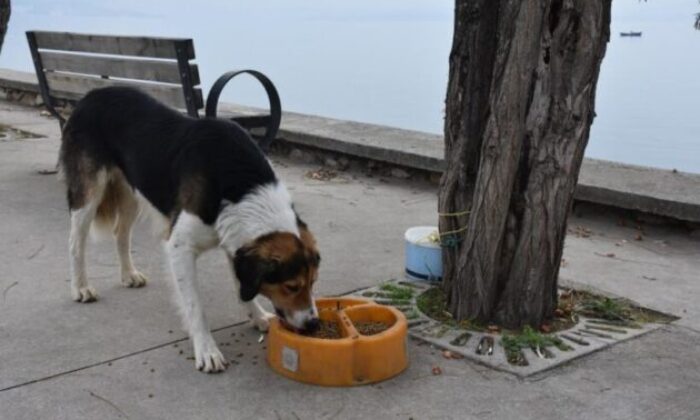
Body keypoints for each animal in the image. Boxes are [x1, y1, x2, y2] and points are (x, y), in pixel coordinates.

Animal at [61, 87, 322, 372]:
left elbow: (240, 284)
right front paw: (206, 349)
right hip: (89, 193)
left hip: (132, 190)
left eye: (313, 282)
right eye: (291, 286)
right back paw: (80, 287)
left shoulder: (234, 239)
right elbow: (195, 306)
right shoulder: (180, 246)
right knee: (75, 242)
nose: (314, 324)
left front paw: (257, 316)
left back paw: (128, 274)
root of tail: (93, 93)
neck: (239, 185)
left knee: (121, 233)